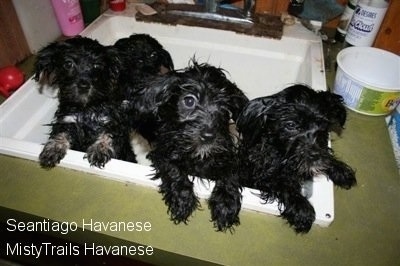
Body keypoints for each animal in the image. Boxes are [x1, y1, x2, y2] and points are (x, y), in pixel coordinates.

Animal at [131, 61, 248, 232]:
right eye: (189, 101)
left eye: (224, 108)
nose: (209, 136)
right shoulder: (161, 153)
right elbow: (173, 169)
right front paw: (182, 198)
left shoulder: (228, 157)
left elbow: (231, 174)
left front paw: (226, 202)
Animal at [238, 84, 356, 233]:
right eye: (291, 125)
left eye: (323, 125)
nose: (314, 155)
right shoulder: (262, 175)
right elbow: (281, 183)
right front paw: (301, 208)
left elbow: (325, 156)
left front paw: (340, 170)